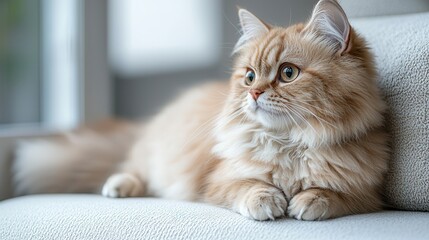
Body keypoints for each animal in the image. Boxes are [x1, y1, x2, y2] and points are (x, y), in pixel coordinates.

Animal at [12, 0, 388, 221]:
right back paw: (120, 186)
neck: (289, 145)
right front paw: (268, 201)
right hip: (153, 156)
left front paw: (308, 201)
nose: (254, 93)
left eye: (288, 73)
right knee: (133, 169)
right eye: (249, 76)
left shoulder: (369, 194)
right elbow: (247, 186)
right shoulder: (216, 180)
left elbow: (335, 195)